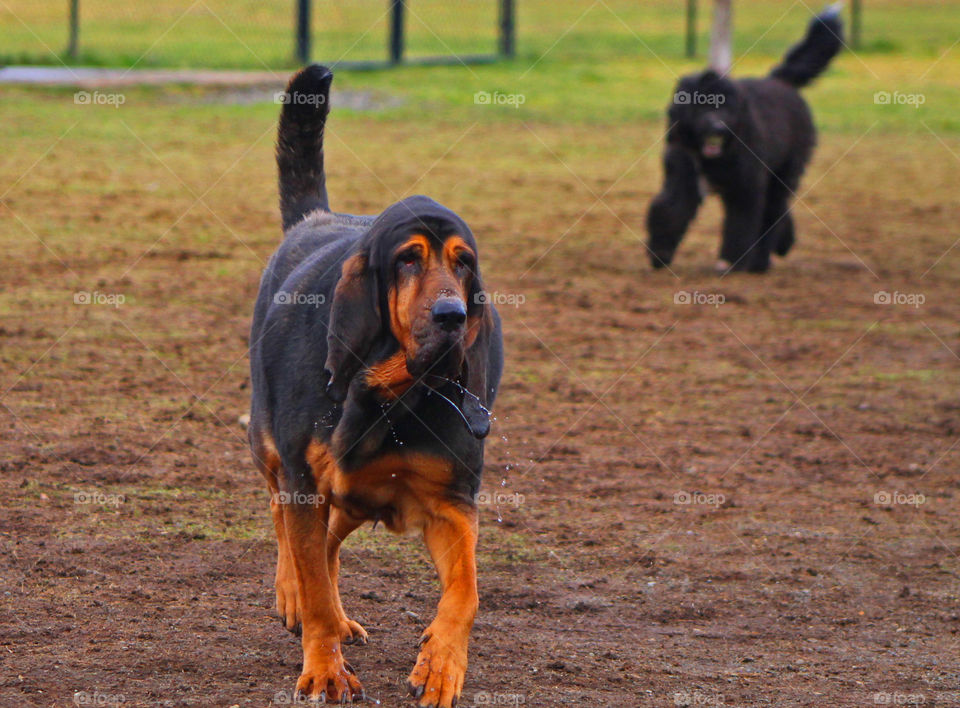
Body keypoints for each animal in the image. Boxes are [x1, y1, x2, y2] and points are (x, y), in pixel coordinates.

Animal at [648, 4, 844, 272]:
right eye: (701, 104)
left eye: (727, 107)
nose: (718, 128)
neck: (715, 158)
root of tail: (780, 81)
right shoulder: (683, 177)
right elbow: (672, 209)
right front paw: (661, 253)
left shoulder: (746, 186)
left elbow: (742, 223)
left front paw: (731, 261)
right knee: (780, 212)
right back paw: (783, 244)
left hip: (783, 173)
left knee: (771, 213)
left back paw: (760, 262)